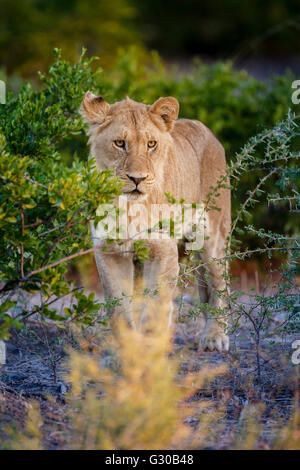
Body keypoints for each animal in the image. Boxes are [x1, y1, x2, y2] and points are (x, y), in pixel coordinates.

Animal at [79, 92, 230, 348]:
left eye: (151, 144)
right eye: (119, 143)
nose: (137, 179)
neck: (129, 207)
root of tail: (209, 132)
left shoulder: (162, 249)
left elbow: (155, 307)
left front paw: (149, 350)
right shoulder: (109, 251)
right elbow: (119, 307)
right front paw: (127, 350)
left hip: (213, 238)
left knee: (219, 283)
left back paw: (215, 337)